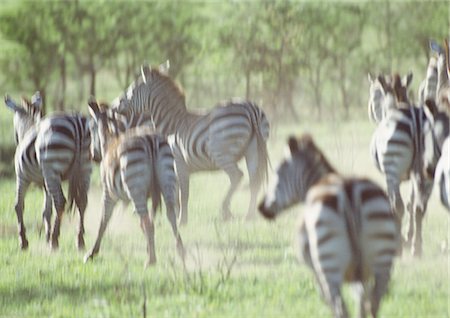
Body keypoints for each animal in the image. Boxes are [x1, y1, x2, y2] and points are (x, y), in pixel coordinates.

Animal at [4, 93, 91, 250]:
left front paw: (23, 241)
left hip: (52, 167)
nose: (17, 139)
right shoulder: (45, 182)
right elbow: (47, 210)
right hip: (85, 169)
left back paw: (54, 241)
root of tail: (76, 123)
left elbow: (18, 205)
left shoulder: (22, 177)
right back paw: (79, 240)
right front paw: (46, 235)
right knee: (82, 201)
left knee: (61, 202)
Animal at [83, 99, 184, 266]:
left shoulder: (108, 193)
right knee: (170, 216)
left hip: (136, 189)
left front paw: (92, 253)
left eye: (91, 129)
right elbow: (145, 223)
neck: (109, 142)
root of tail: (150, 139)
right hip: (168, 180)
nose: (93, 156)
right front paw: (148, 247)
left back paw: (151, 260)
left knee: (148, 222)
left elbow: (103, 220)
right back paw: (180, 251)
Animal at [111, 63, 270, 224]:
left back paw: (225, 209)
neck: (171, 125)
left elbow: (183, 194)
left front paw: (181, 221)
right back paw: (249, 215)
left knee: (237, 176)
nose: (113, 105)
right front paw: (177, 217)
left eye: (131, 91)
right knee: (254, 180)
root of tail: (249, 109)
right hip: (252, 150)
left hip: (221, 153)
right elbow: (176, 195)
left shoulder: (178, 162)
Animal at [258, 134, 400, 318]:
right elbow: (361, 302)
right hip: (382, 260)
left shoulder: (315, 270)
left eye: (277, 173)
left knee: (340, 307)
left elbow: (328, 300)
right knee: (373, 303)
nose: (261, 207)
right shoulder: (361, 276)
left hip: (329, 266)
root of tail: (347, 189)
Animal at [370, 74, 442, 256]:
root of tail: (416, 121)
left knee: (399, 206)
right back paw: (417, 248)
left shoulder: (389, 176)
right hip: (430, 172)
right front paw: (409, 238)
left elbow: (394, 205)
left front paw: (401, 239)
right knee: (420, 207)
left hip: (393, 169)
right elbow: (411, 204)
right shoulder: (415, 175)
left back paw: (399, 247)